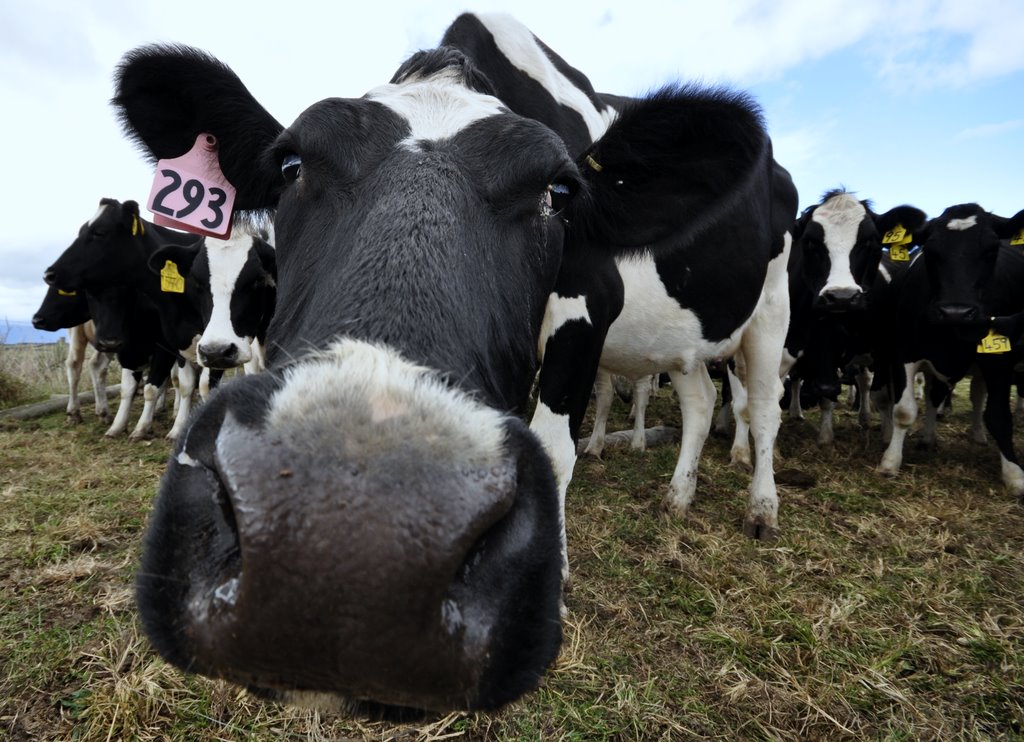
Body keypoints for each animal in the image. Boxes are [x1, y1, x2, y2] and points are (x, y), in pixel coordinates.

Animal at [113, 12, 786, 714]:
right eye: (290, 164)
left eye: (560, 190)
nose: (342, 551)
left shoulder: (590, 305)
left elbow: (557, 447)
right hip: (689, 346)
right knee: (700, 401)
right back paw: (679, 495)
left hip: (774, 307)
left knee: (763, 408)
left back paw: (761, 507)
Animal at [874, 203, 1024, 498]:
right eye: (930, 250)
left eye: (992, 249)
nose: (956, 311)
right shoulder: (904, 352)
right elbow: (904, 411)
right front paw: (890, 462)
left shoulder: (999, 360)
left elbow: (1000, 416)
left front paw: (1014, 474)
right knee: (937, 396)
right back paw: (929, 437)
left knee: (974, 396)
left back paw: (976, 434)